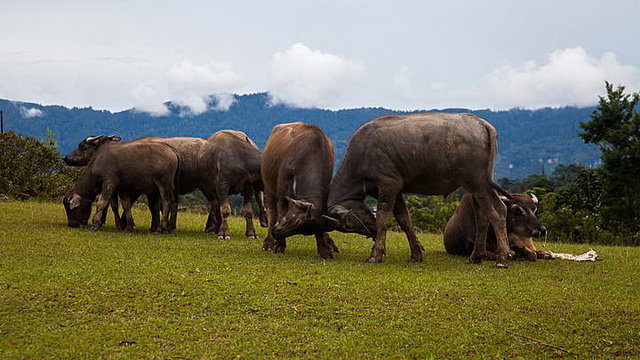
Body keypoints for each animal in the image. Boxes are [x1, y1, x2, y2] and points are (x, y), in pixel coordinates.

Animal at [260, 123, 340, 258]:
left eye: (300, 227)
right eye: (296, 221)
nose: (276, 233)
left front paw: (324, 249)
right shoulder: (282, 195)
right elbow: (281, 215)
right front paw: (279, 246)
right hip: (269, 187)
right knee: (272, 214)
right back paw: (268, 243)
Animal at [324, 112, 510, 268]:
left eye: (347, 225)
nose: (371, 232)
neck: (362, 155)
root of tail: (482, 123)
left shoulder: (388, 185)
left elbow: (383, 219)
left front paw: (375, 255)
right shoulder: (397, 191)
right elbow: (405, 221)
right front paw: (416, 254)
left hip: (478, 183)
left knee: (497, 211)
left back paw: (502, 259)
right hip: (475, 186)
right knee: (482, 217)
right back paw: (475, 257)